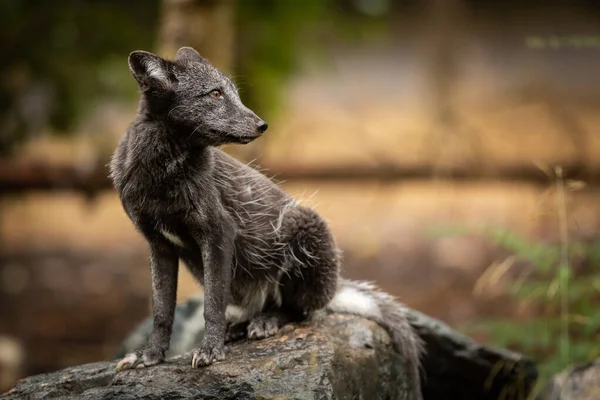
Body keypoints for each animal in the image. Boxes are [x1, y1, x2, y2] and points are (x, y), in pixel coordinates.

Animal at [110, 47, 424, 396]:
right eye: (215, 93)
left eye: (234, 92)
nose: (263, 125)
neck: (161, 180)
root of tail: (333, 287)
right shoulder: (158, 244)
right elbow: (162, 312)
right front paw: (150, 356)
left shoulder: (218, 233)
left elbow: (211, 307)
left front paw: (210, 351)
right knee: (254, 308)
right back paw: (239, 327)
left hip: (304, 234)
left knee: (302, 311)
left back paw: (266, 322)